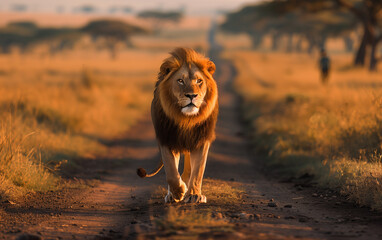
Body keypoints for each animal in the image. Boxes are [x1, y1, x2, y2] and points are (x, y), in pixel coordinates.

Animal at [137, 46, 218, 202]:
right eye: (180, 80)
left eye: (199, 81)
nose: (192, 96)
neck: (186, 119)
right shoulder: (166, 138)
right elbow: (170, 171)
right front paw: (178, 191)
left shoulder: (201, 139)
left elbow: (198, 170)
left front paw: (194, 195)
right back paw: (173, 194)